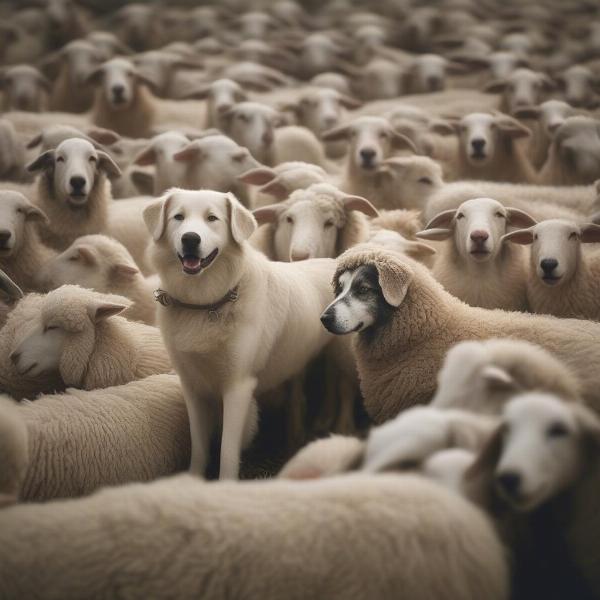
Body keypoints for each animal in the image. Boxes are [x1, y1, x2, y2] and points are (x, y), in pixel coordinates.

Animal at [144, 188, 338, 478]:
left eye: (212, 218)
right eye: (178, 217)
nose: (190, 239)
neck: (205, 304)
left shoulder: (238, 386)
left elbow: (227, 450)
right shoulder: (192, 385)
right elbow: (199, 446)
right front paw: (193, 479)